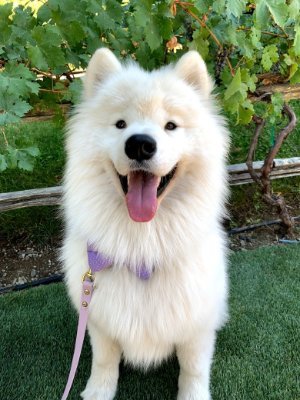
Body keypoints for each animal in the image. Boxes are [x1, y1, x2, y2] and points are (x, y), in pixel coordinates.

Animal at [62, 47, 229, 400]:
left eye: (171, 126)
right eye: (120, 124)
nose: (139, 143)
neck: (143, 249)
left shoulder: (196, 325)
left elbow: (193, 369)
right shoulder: (99, 320)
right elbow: (104, 362)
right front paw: (98, 392)